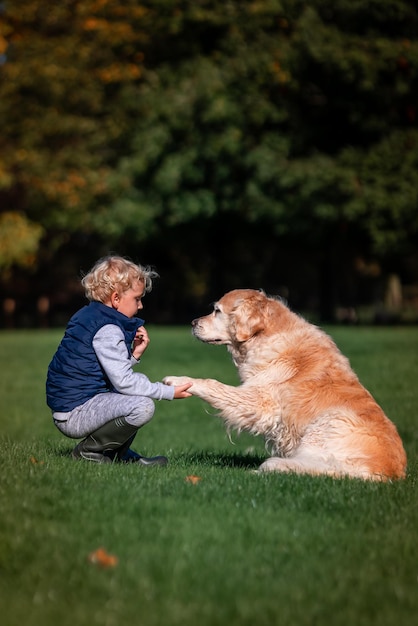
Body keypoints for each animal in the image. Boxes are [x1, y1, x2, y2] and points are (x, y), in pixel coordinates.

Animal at [165, 288, 406, 478]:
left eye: (217, 311)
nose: (193, 323)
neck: (264, 336)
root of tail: (391, 472)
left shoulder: (260, 402)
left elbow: (214, 384)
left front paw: (180, 380)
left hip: (328, 422)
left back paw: (271, 467)